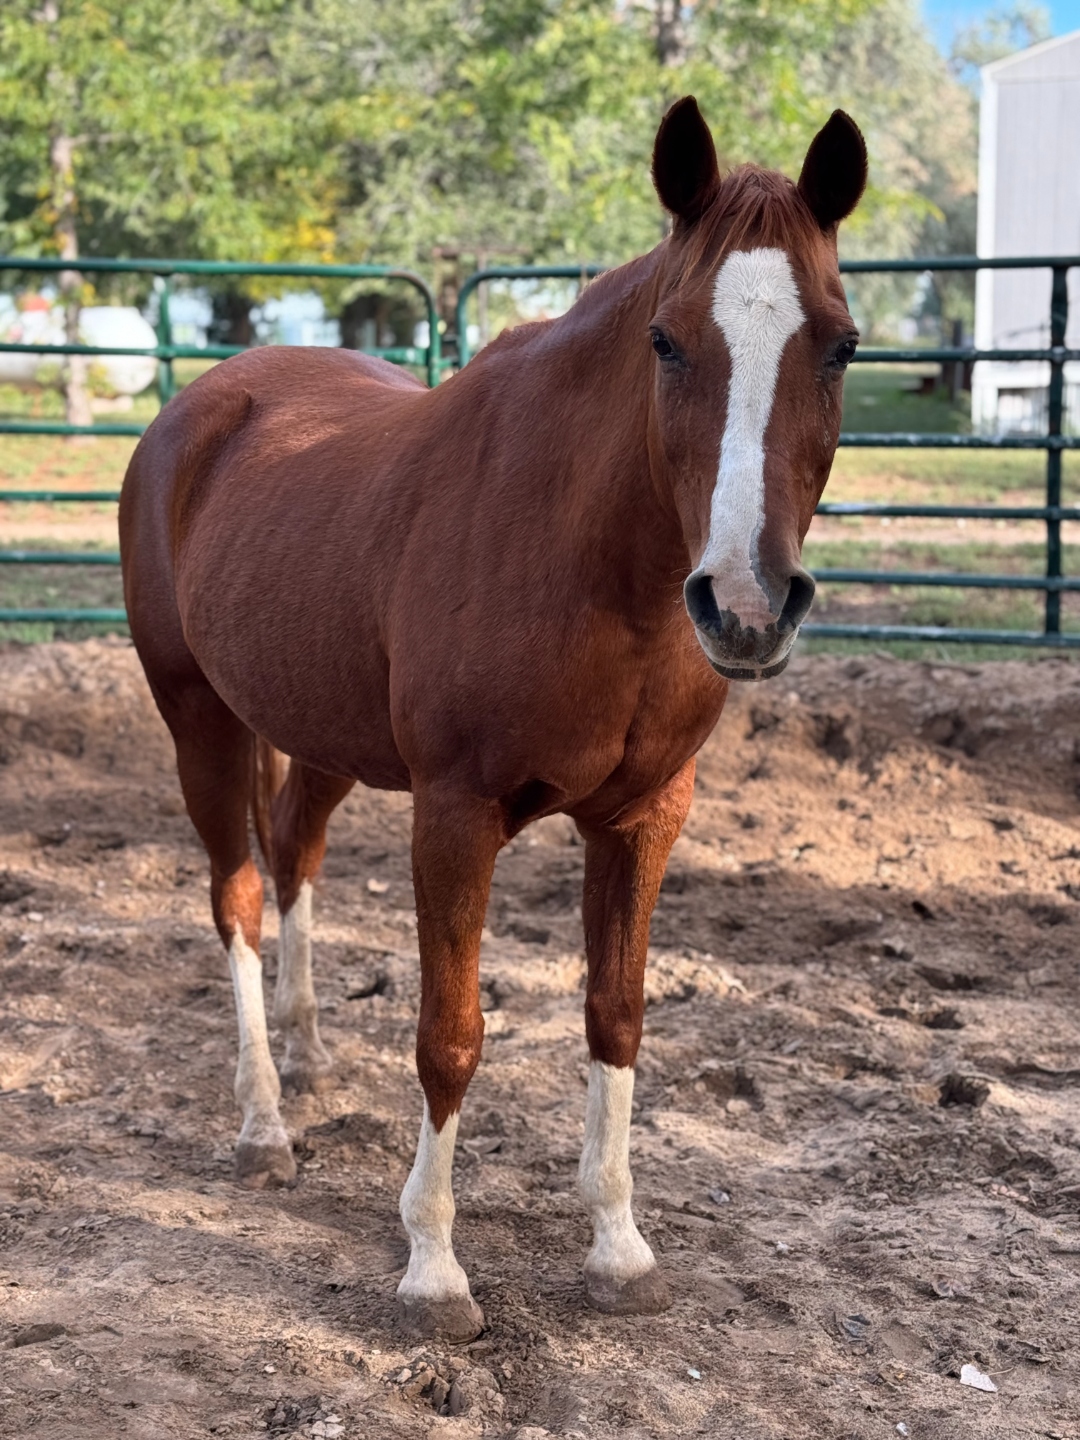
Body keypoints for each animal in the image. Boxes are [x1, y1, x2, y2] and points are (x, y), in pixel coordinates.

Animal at [119, 96, 866, 1340]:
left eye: (842, 343)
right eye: (667, 341)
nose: (747, 603)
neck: (587, 558)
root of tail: (203, 405)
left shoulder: (645, 820)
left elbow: (616, 1015)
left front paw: (619, 1248)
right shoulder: (455, 815)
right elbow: (452, 1037)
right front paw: (433, 1268)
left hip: (319, 732)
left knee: (293, 850)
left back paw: (310, 1052)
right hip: (198, 720)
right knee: (236, 898)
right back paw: (264, 1124)